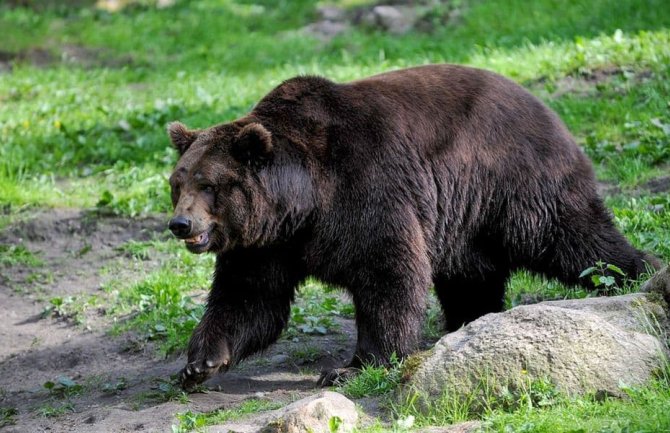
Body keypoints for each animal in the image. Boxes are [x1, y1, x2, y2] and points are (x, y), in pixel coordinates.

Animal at [168, 61, 660, 388]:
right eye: (178, 182)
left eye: (209, 184)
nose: (180, 224)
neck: (301, 202)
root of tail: (546, 107)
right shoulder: (266, 244)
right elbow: (250, 299)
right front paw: (199, 363)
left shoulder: (365, 189)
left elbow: (388, 272)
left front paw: (352, 366)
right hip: (465, 219)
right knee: (471, 276)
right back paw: (466, 322)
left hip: (515, 183)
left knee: (575, 241)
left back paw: (639, 274)